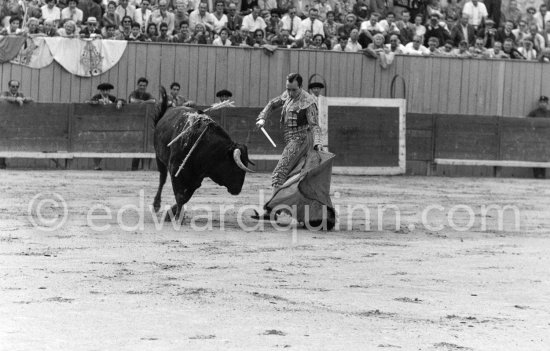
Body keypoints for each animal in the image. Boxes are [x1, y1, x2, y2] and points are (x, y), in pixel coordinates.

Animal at [151, 87, 254, 221]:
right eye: (236, 168)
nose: (237, 190)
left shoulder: (197, 179)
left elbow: (186, 197)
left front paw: (173, 213)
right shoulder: (176, 171)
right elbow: (180, 196)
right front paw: (177, 217)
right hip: (159, 158)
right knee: (162, 179)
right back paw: (156, 205)